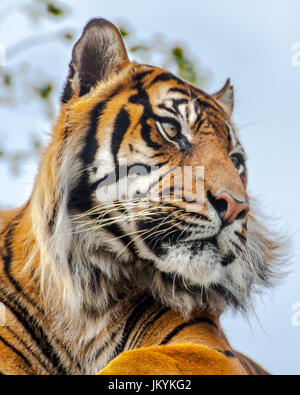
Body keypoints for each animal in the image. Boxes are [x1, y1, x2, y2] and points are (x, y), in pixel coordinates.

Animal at [0, 18, 286, 376]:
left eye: (236, 161)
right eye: (172, 130)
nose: (237, 207)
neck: (86, 300)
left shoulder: (211, 350)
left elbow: (143, 358)